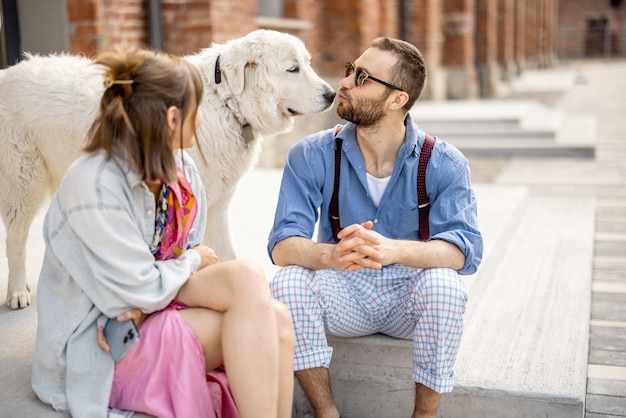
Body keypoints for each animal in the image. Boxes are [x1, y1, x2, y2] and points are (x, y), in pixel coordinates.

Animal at [0, 29, 336, 308]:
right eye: (292, 69)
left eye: (307, 64)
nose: (332, 95)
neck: (225, 102)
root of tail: (6, 73)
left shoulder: (216, 205)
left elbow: (228, 253)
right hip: (22, 181)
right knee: (16, 238)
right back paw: (17, 292)